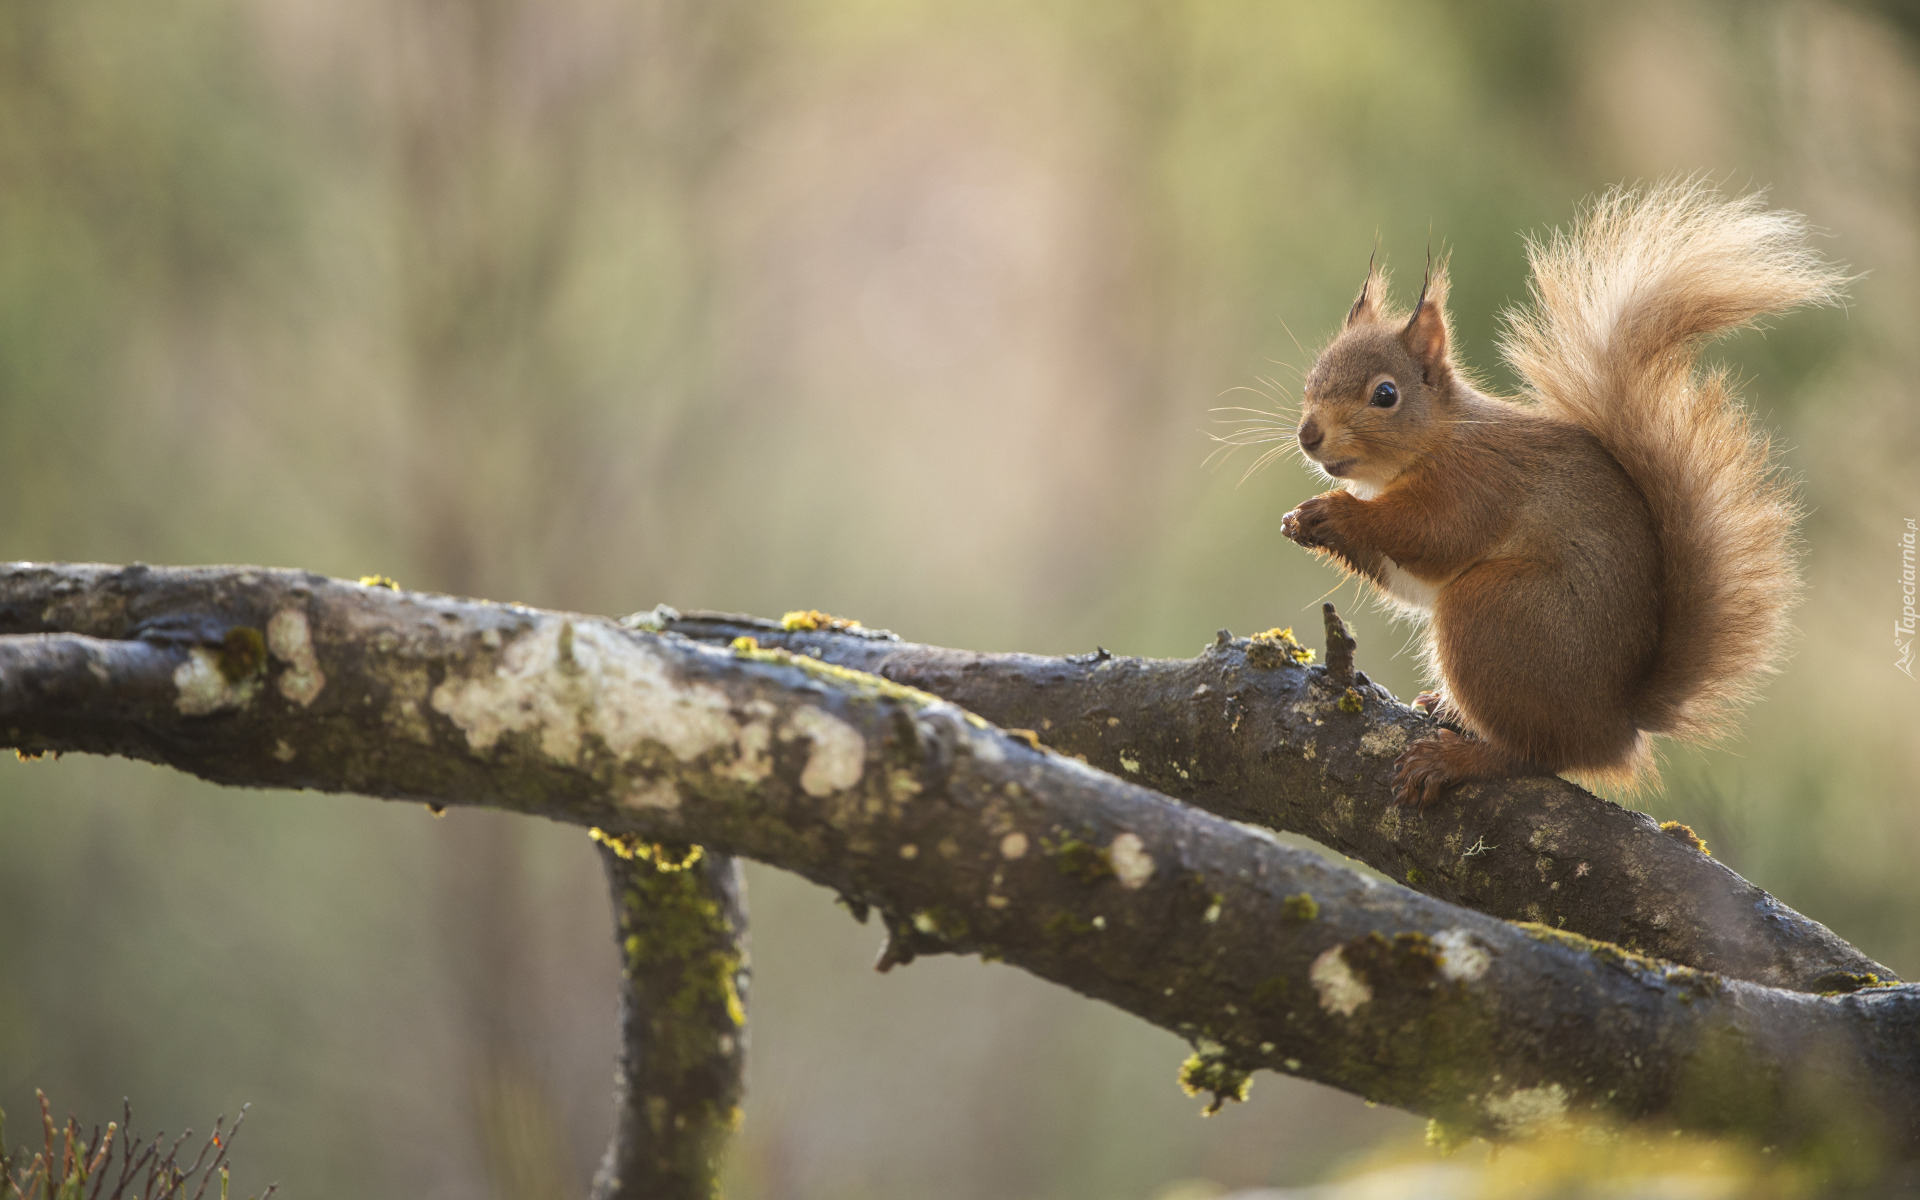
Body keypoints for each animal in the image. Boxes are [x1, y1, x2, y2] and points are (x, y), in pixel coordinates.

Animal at [1282, 182, 1850, 806]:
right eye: (1313, 376)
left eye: (1385, 395)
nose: (1309, 435)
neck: (1437, 441)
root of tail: (1616, 724)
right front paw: (1303, 522)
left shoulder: (1478, 484)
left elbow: (1432, 535)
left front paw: (1338, 512)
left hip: (1496, 613)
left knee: (1538, 754)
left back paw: (1459, 757)